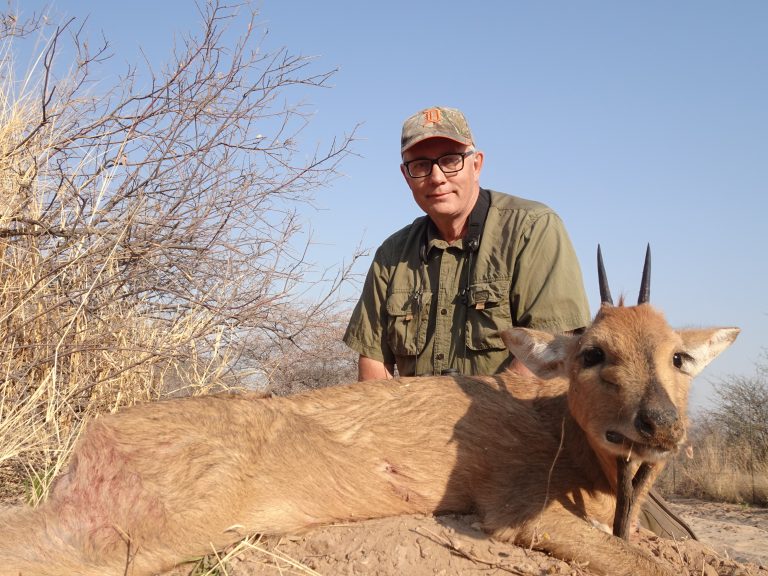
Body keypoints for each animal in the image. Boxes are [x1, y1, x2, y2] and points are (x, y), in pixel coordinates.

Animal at [0, 248, 736, 576]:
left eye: (677, 356)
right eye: (593, 352)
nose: (660, 424)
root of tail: (93, 440)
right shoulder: (513, 508)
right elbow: (644, 564)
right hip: (149, 531)